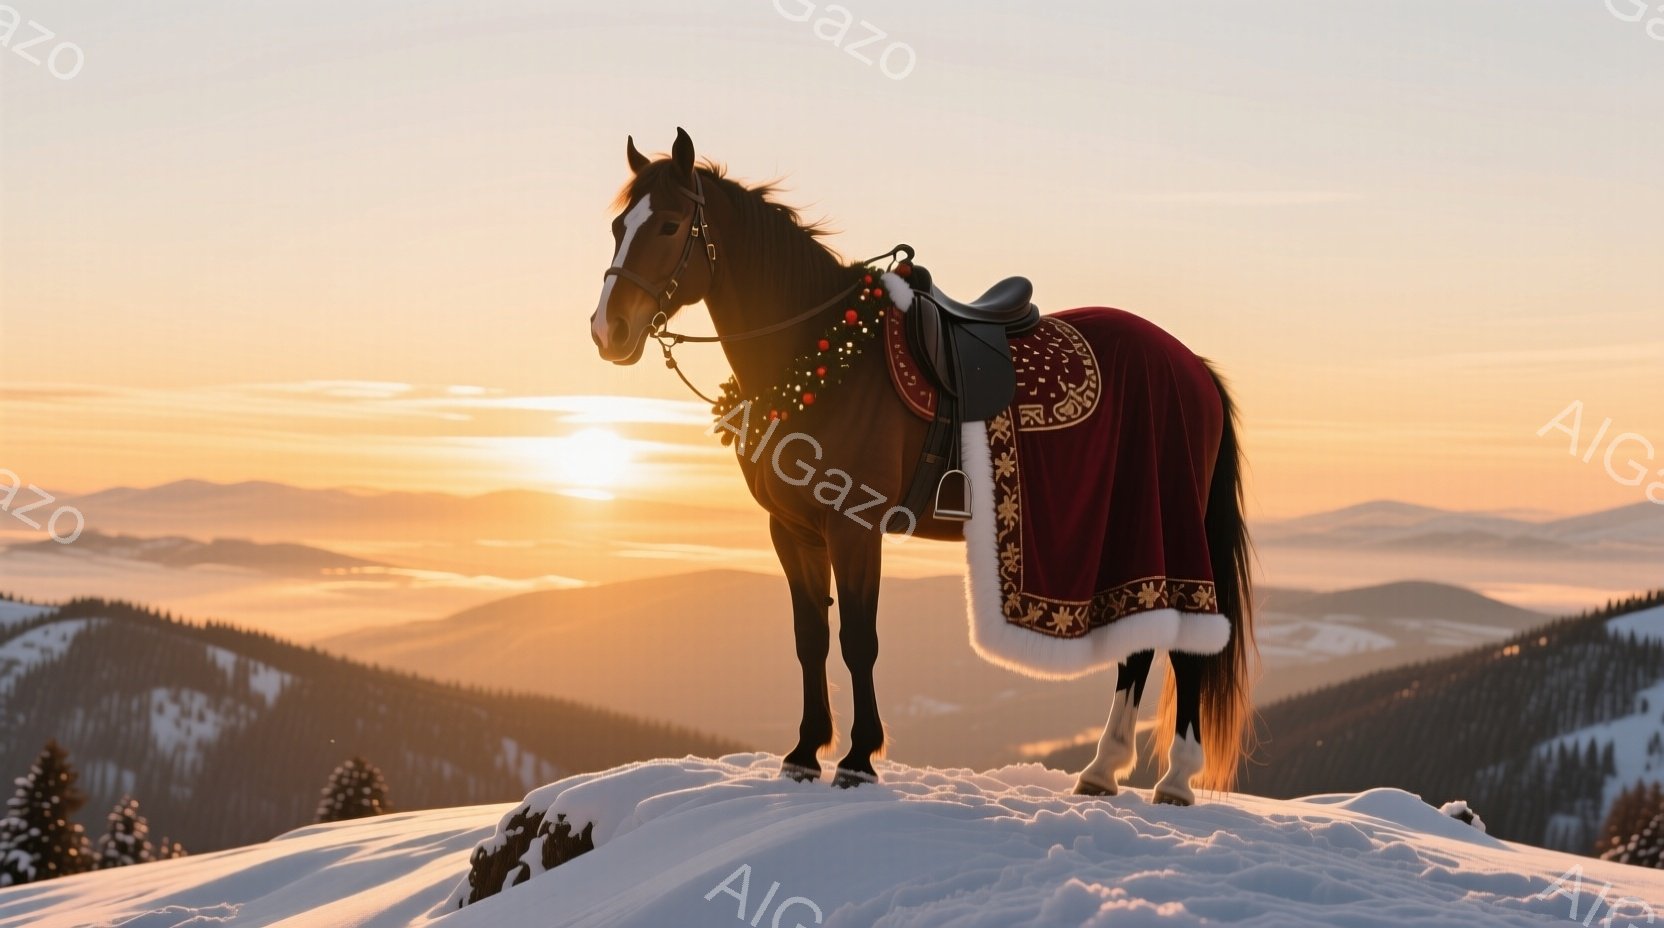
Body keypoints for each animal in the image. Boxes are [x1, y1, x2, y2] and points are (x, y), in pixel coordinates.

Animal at [589, 128, 1254, 804]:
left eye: (670, 224)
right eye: (619, 225)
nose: (607, 330)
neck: (823, 355)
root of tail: (1192, 366)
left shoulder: (853, 528)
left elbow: (858, 640)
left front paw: (858, 758)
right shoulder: (794, 531)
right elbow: (810, 639)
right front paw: (803, 753)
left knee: (1184, 649)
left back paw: (1173, 779)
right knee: (1138, 648)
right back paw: (1101, 770)